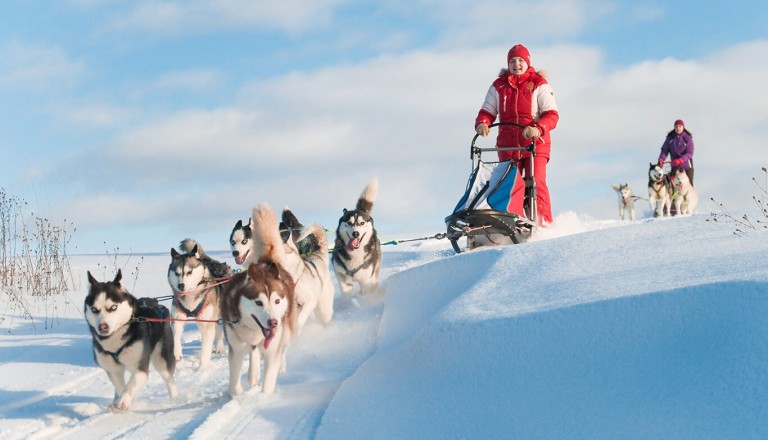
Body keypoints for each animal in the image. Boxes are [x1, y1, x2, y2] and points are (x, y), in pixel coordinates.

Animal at [85, 270, 178, 410]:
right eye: (94, 309)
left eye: (113, 307)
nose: (103, 327)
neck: (115, 342)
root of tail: (158, 305)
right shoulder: (113, 370)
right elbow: (120, 387)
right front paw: (122, 400)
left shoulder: (140, 368)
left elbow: (131, 384)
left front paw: (124, 400)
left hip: (162, 360)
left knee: (169, 379)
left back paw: (174, 399)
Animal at [166, 239, 231, 370]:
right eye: (176, 273)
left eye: (189, 271)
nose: (181, 286)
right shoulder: (177, 319)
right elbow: (175, 336)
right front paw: (177, 353)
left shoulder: (205, 324)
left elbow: (205, 350)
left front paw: (202, 368)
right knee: (218, 329)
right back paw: (219, 347)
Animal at [220, 217, 298, 398]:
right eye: (258, 302)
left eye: (277, 301)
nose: (273, 323)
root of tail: (266, 262)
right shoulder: (236, 348)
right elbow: (234, 385)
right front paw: (237, 395)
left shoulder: (272, 348)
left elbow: (268, 381)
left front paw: (263, 398)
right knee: (254, 351)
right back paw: (253, 372)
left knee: (282, 347)